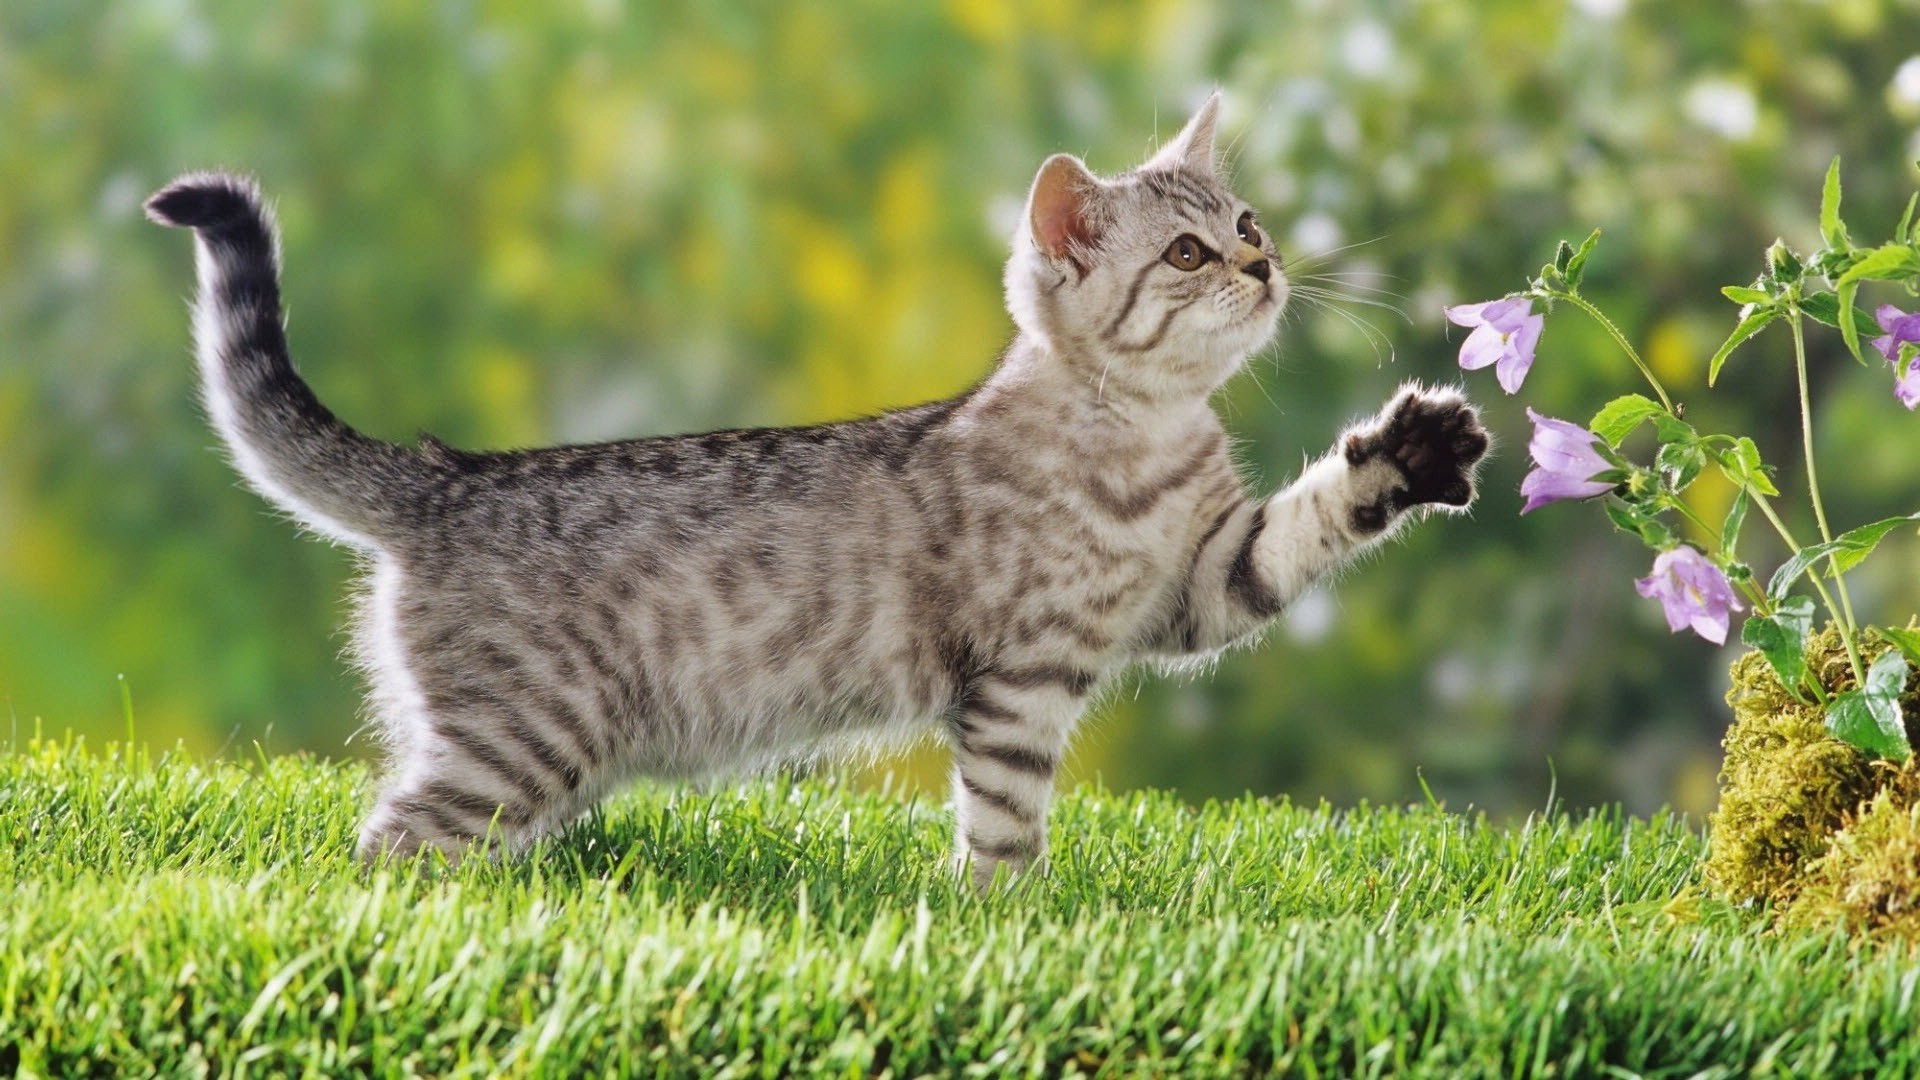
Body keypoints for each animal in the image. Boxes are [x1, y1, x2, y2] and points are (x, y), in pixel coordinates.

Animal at [149, 94, 1489, 883]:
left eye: (1249, 222)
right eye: (1188, 251)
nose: (1265, 265)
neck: (1144, 440)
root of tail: (444, 479)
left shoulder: (1202, 583)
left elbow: (1309, 523)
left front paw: (1411, 449)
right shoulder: (1022, 675)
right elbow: (1006, 821)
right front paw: (1012, 917)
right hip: (522, 739)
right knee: (385, 850)